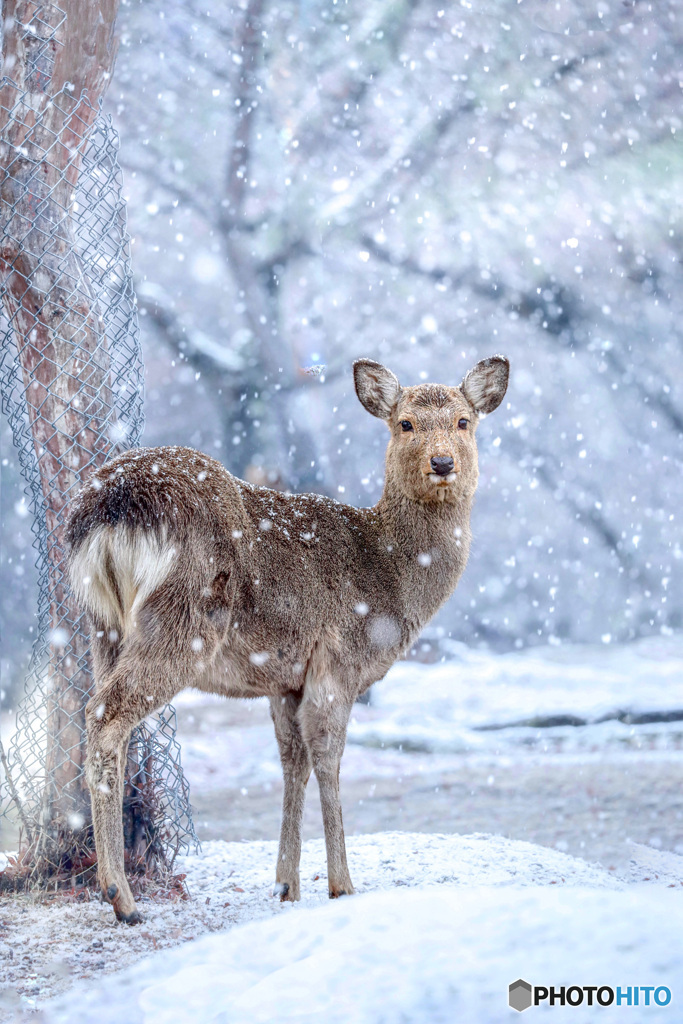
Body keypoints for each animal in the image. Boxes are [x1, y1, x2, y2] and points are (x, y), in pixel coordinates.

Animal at [68, 356, 507, 925]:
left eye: (464, 422)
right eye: (405, 423)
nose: (442, 462)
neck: (390, 578)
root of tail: (110, 505)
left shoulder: (285, 679)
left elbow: (290, 763)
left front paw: (285, 885)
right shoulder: (338, 662)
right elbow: (328, 758)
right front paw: (342, 885)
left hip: (101, 623)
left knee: (102, 710)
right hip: (184, 618)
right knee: (105, 713)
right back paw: (121, 897)